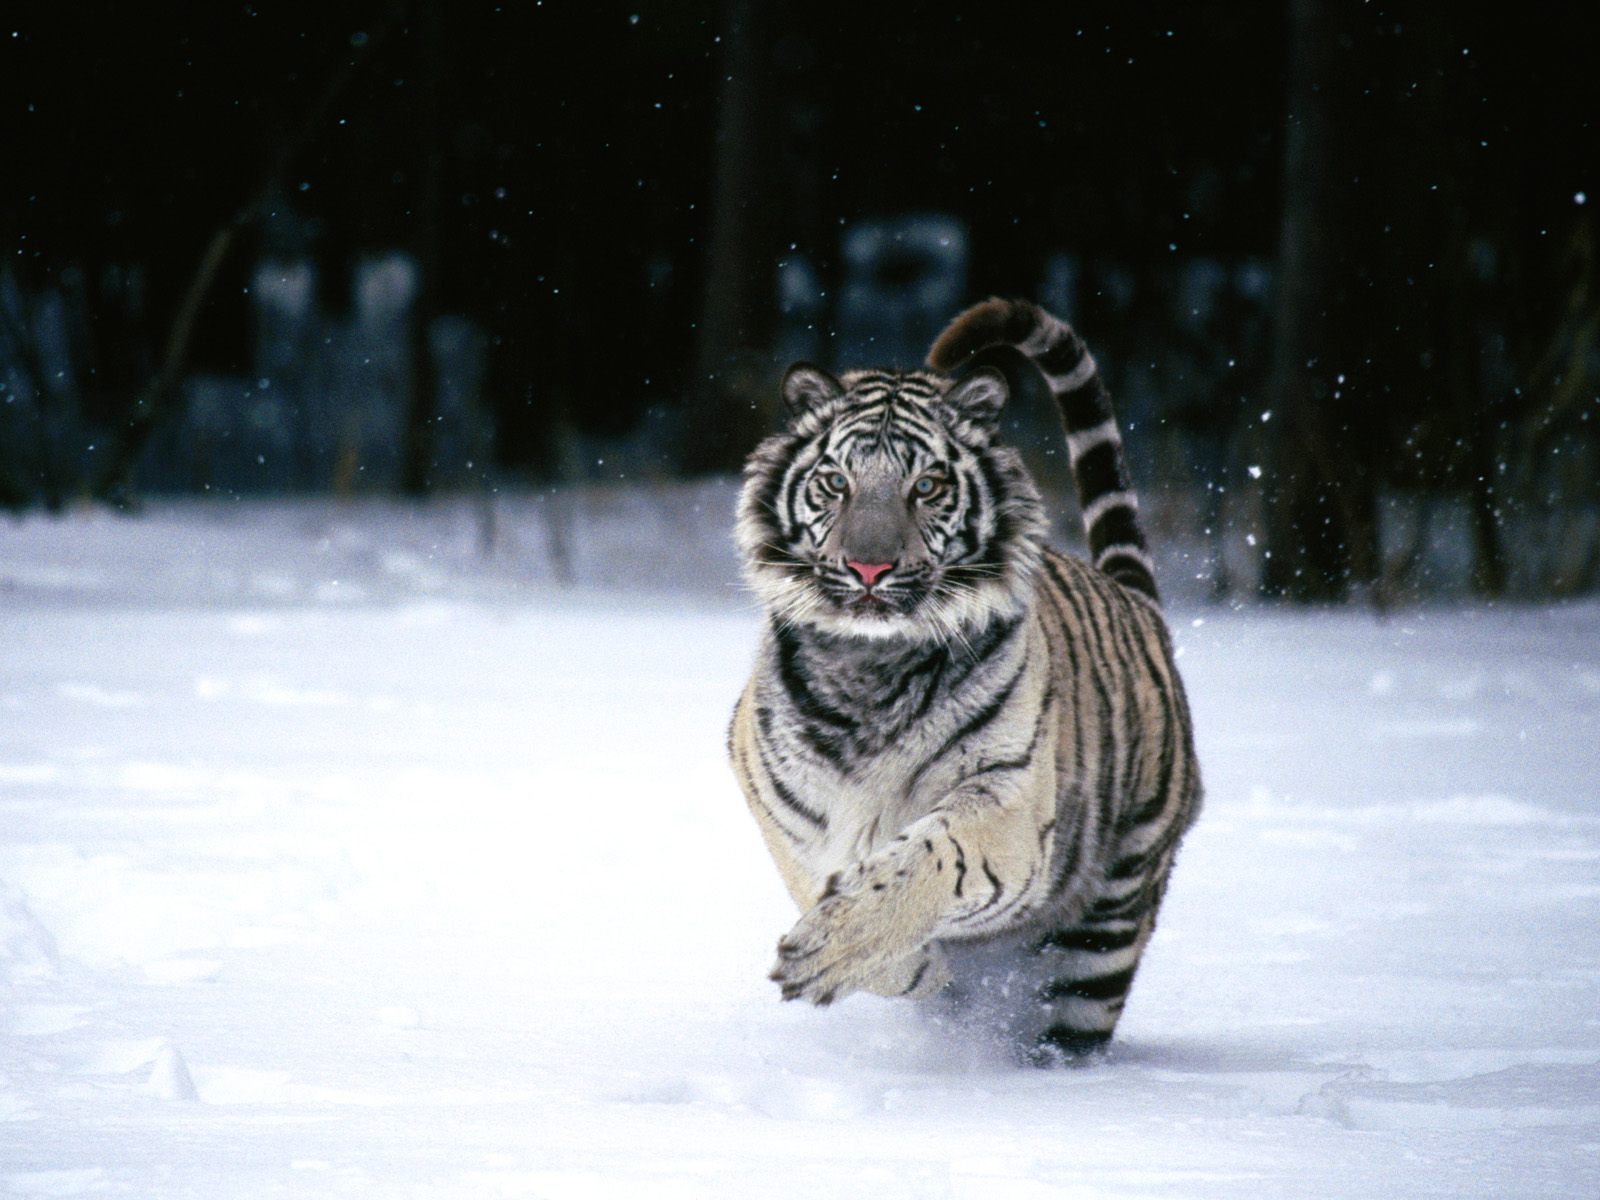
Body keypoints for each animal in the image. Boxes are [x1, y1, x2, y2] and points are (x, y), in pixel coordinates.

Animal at [728, 297, 1201, 1061]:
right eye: (836, 483)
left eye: (926, 486)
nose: (868, 568)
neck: (869, 667)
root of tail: (1140, 606)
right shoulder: (782, 806)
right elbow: (824, 883)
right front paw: (912, 970)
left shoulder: (1010, 796)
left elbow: (926, 860)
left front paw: (834, 947)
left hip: (1107, 927)